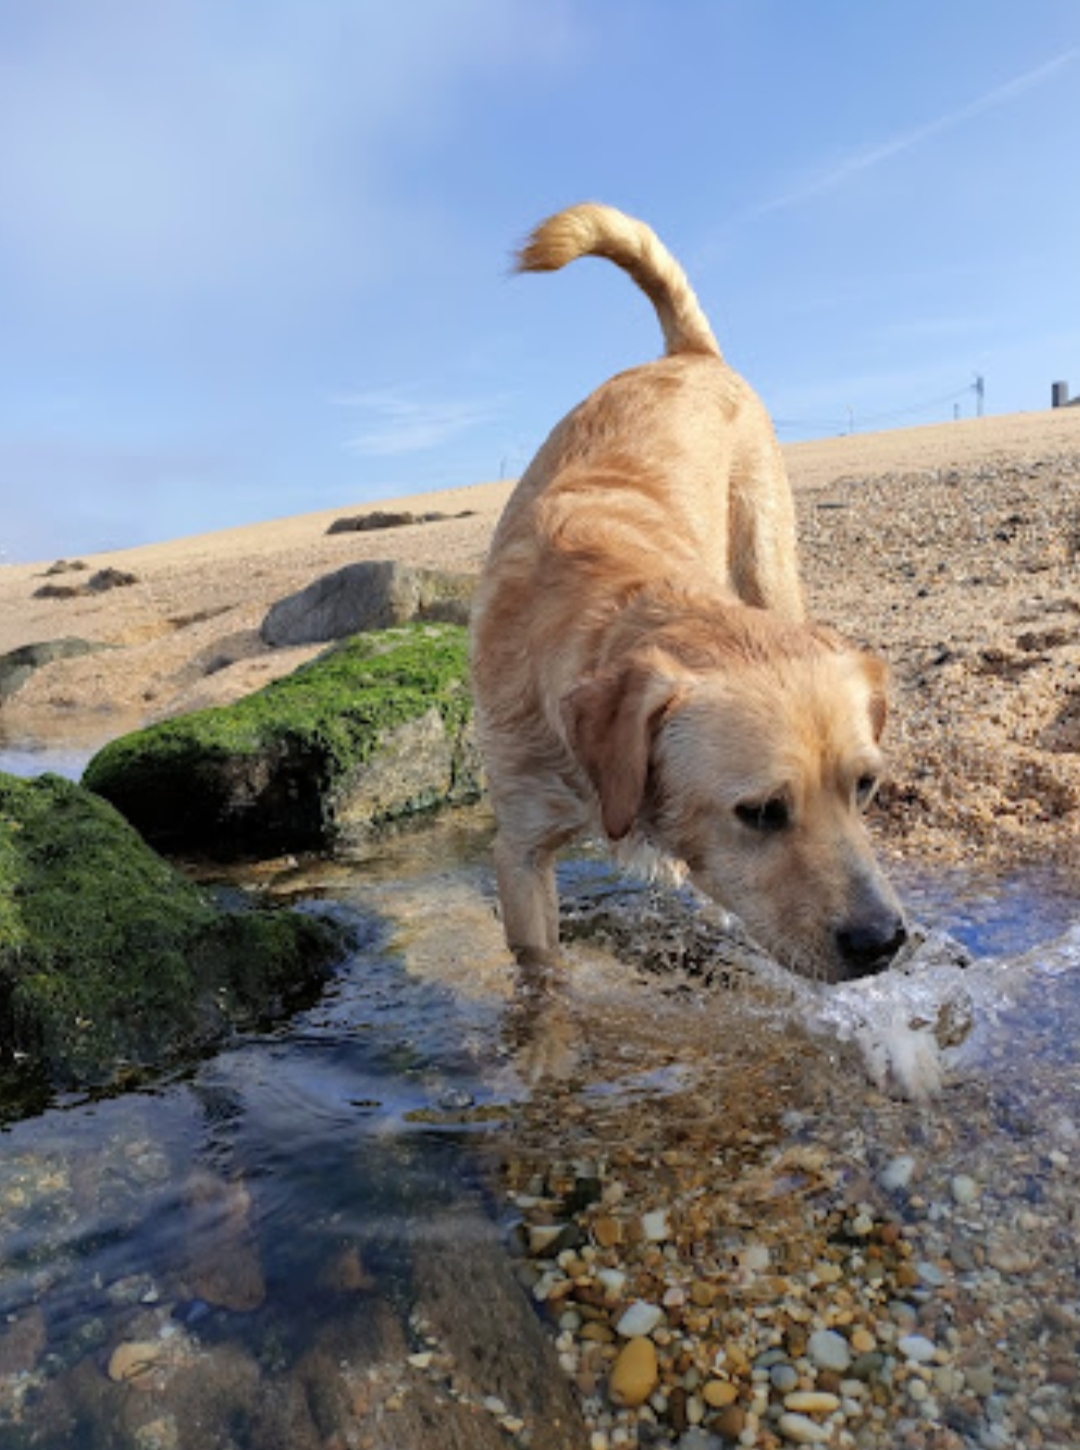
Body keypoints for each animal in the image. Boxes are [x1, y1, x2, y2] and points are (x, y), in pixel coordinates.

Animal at [472, 207, 898, 986]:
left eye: (865, 786)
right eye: (761, 811)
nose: (883, 940)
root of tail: (690, 357)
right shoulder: (518, 852)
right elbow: (542, 975)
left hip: (767, 555)